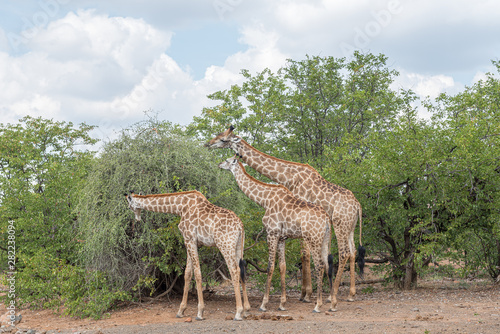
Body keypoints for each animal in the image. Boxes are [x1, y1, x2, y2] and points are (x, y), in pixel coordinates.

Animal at [125, 189, 250, 320]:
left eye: (129, 206)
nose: (137, 219)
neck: (180, 207)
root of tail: (240, 226)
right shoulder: (190, 241)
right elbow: (187, 273)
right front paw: (181, 310)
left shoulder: (189, 238)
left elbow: (197, 273)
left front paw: (200, 312)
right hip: (239, 245)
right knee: (242, 269)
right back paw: (246, 310)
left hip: (225, 244)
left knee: (234, 270)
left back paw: (238, 312)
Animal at [218, 157, 332, 314]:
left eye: (227, 160)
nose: (219, 164)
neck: (264, 200)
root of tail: (326, 218)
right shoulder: (282, 237)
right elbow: (282, 266)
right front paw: (282, 304)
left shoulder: (271, 233)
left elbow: (270, 266)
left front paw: (263, 304)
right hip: (325, 239)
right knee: (327, 263)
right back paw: (332, 302)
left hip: (313, 238)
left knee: (320, 265)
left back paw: (317, 305)